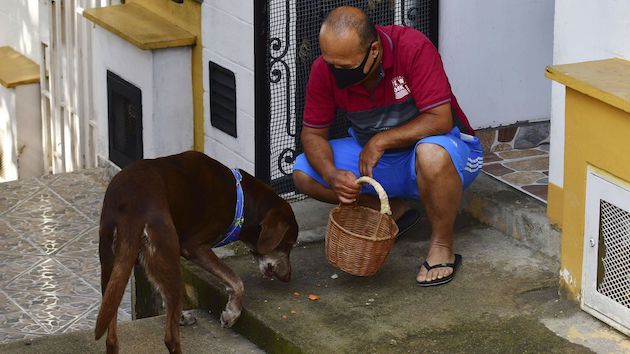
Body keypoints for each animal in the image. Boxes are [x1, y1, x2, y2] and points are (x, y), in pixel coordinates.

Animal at [95, 151, 300, 352]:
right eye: (288, 244)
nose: (289, 277)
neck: (241, 200)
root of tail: (130, 212)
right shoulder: (195, 247)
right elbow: (236, 280)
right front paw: (231, 314)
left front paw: (182, 315)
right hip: (166, 255)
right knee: (170, 338)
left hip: (111, 268)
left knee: (111, 336)